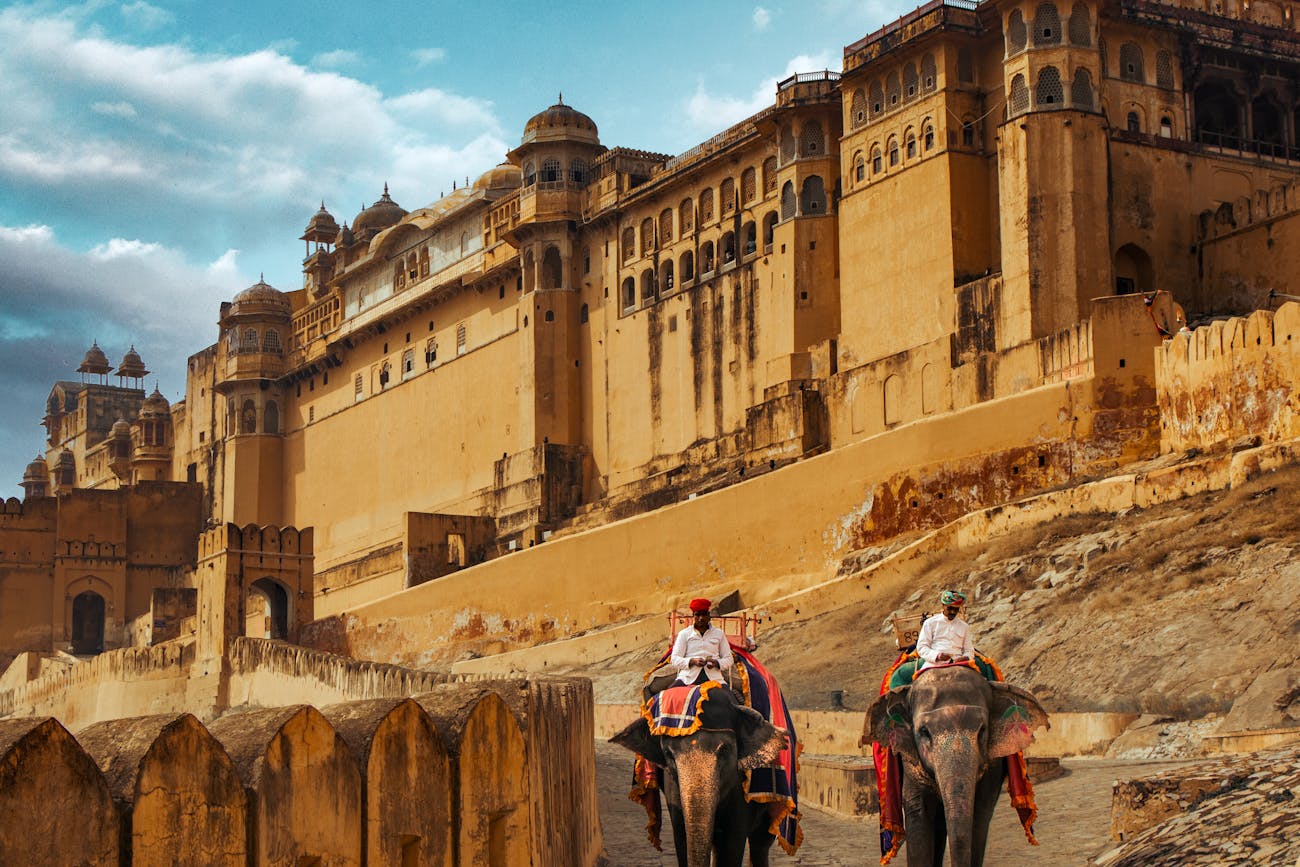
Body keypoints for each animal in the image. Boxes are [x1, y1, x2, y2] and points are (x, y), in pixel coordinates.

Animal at [613, 686, 785, 863]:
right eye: (668, 754)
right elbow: (681, 837)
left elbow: (732, 844)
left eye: (725, 750)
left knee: (761, 842)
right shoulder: (673, 786)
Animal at [863, 670, 1055, 863]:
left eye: (982, 730)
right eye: (924, 732)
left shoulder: (993, 762)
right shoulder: (910, 757)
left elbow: (980, 813)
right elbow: (918, 810)